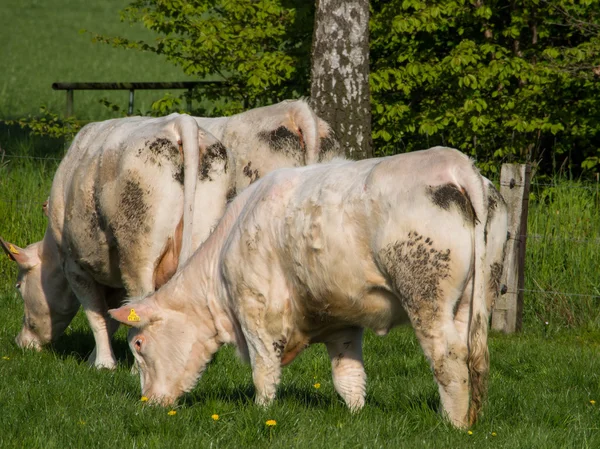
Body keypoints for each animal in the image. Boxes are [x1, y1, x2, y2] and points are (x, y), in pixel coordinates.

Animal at [0, 100, 342, 370]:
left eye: (19, 286)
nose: (21, 342)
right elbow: (112, 316)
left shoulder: (75, 265)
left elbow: (98, 315)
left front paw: (102, 364)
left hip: (139, 248)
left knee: (141, 298)